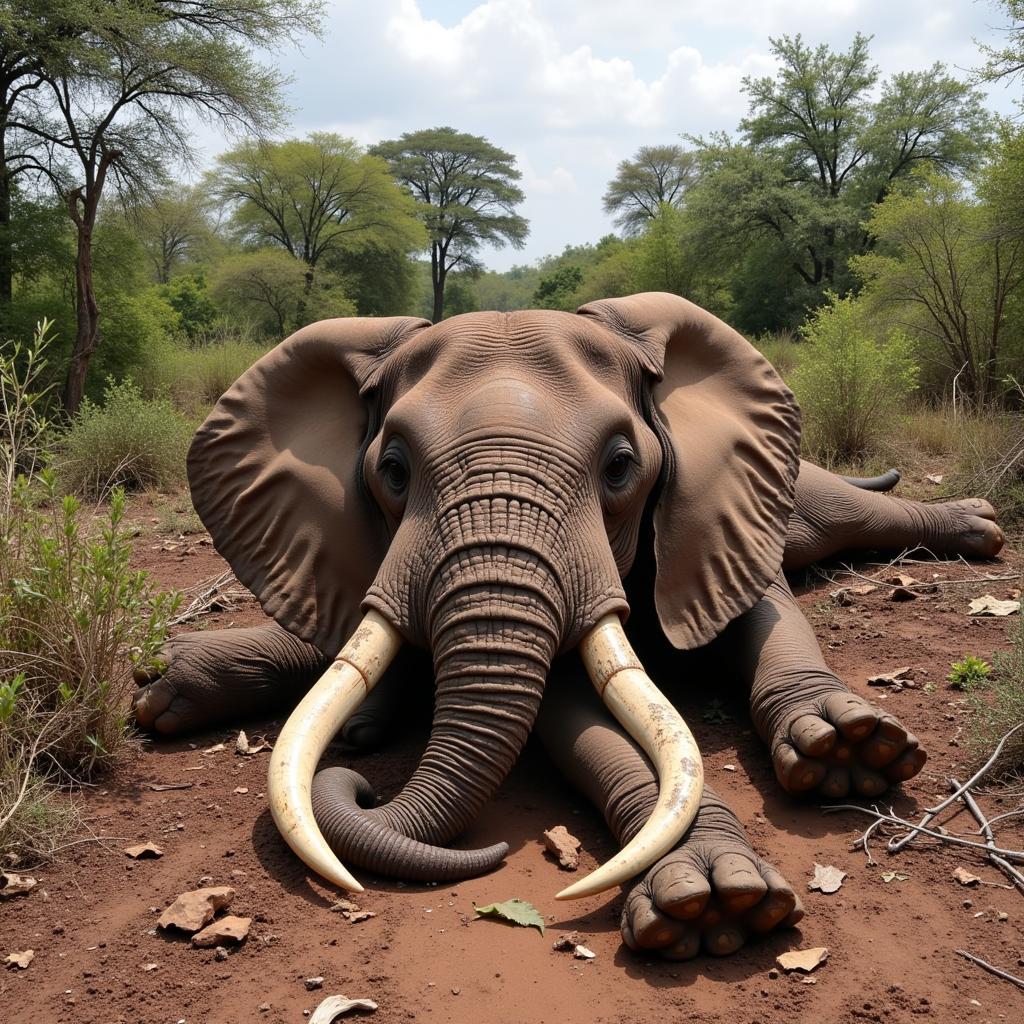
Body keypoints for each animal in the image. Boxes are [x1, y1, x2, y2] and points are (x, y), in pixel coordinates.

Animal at [132, 294, 1003, 958]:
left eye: (621, 467)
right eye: (392, 471)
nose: (366, 789)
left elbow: (771, 618)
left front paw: (849, 750)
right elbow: (578, 724)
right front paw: (715, 903)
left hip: (805, 493)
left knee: (846, 514)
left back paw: (981, 528)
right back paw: (174, 692)